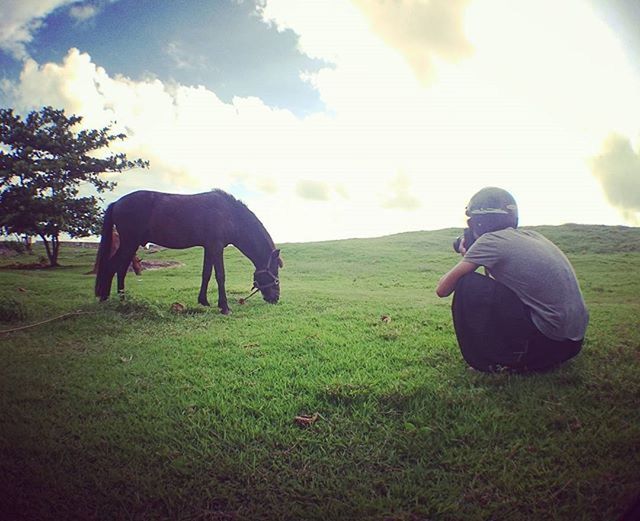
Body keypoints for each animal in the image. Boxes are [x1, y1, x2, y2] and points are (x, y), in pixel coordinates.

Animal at [95, 190, 282, 312]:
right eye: (274, 271)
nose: (275, 298)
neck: (230, 214)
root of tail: (116, 203)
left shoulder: (209, 247)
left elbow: (206, 274)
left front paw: (203, 301)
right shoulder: (216, 246)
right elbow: (220, 275)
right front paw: (224, 307)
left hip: (130, 244)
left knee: (120, 268)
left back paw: (121, 299)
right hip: (129, 242)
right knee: (112, 267)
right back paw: (109, 300)